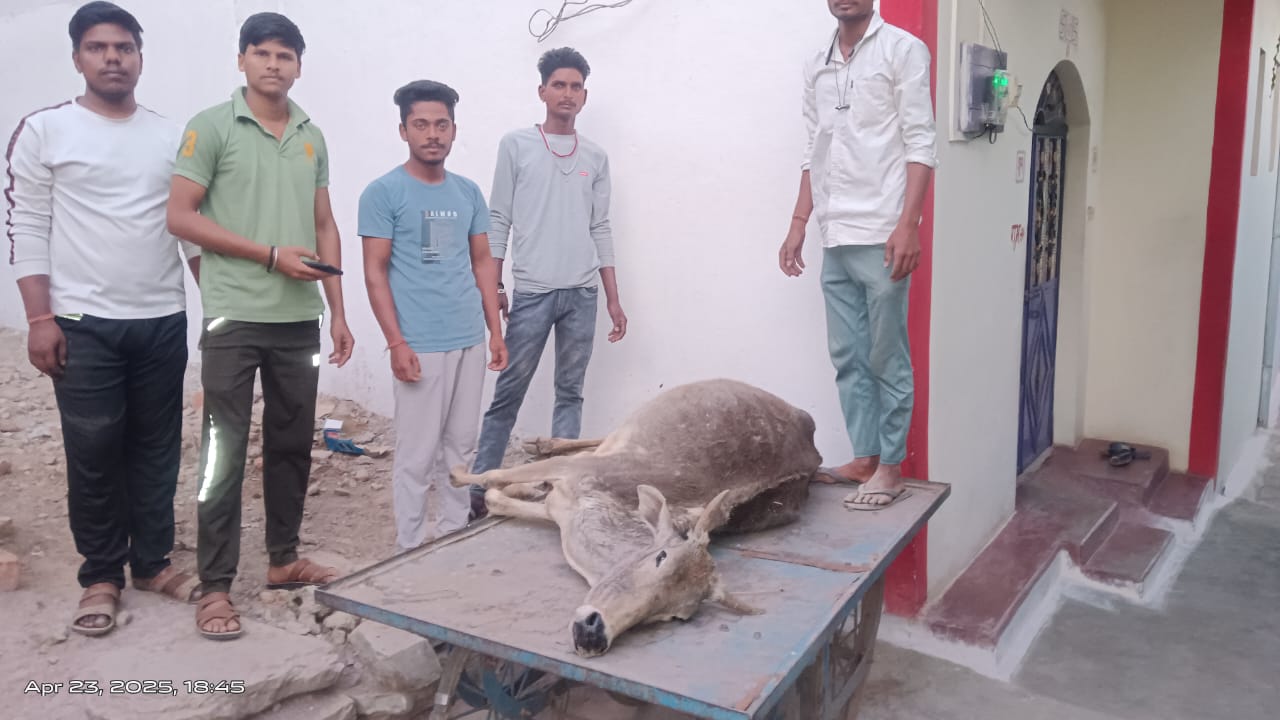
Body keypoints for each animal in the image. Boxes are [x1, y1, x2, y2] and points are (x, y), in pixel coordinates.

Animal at [449, 379, 823, 657]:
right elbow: (493, 475)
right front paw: (457, 473)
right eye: (660, 556)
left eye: (677, 615)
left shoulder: (560, 503)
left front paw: (514, 488)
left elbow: (498, 497)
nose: (593, 633)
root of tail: (809, 428)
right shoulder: (575, 472)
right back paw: (537, 444)